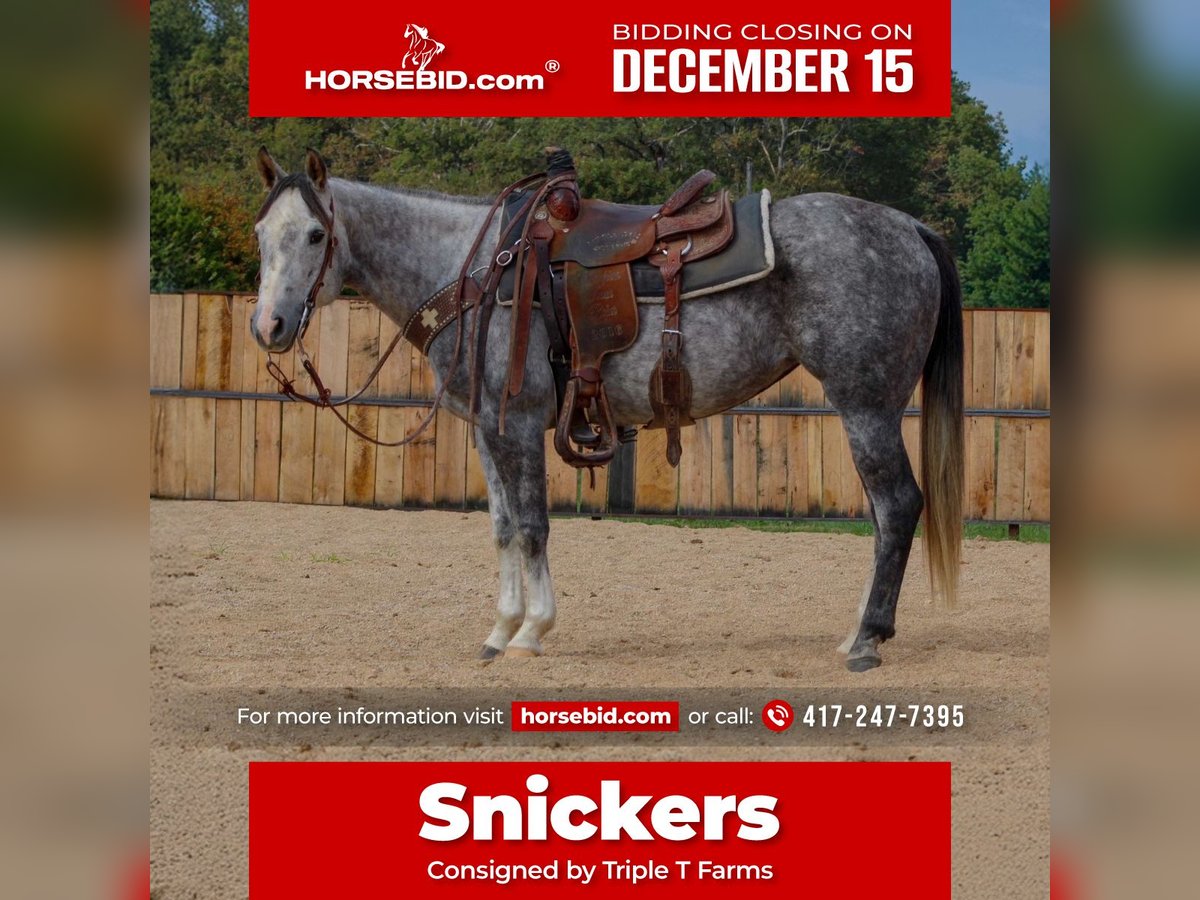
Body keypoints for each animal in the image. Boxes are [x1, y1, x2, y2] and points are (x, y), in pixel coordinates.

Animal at [250, 148, 964, 672]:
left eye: (315, 234)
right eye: (260, 234)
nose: (269, 326)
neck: (475, 269)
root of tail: (909, 227)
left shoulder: (518, 423)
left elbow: (532, 526)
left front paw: (531, 632)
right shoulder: (487, 430)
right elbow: (502, 528)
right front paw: (500, 628)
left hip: (866, 405)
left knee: (898, 506)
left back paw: (866, 640)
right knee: (884, 514)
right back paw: (858, 632)